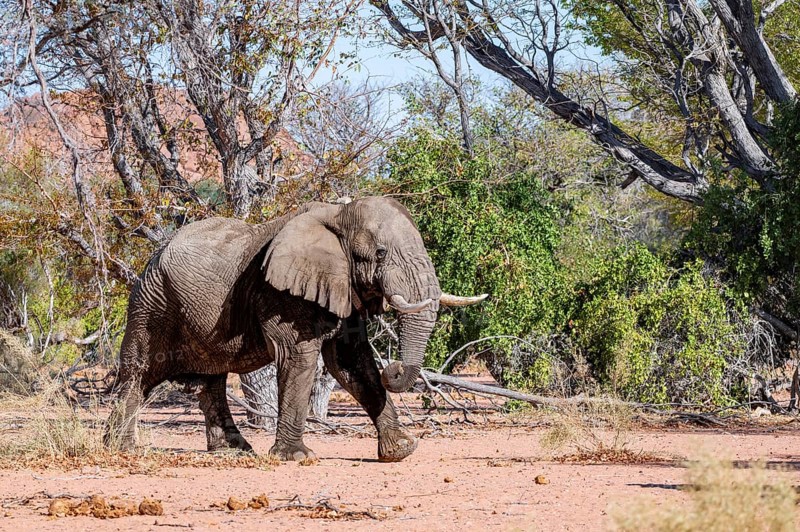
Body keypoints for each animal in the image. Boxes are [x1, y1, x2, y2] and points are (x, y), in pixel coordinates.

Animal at [105, 196, 486, 462]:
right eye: (379, 253)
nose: (393, 369)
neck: (338, 214)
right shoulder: (280, 293)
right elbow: (299, 358)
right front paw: (297, 457)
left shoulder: (339, 287)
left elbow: (352, 363)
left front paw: (402, 451)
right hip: (150, 301)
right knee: (139, 371)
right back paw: (120, 448)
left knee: (212, 378)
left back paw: (234, 451)